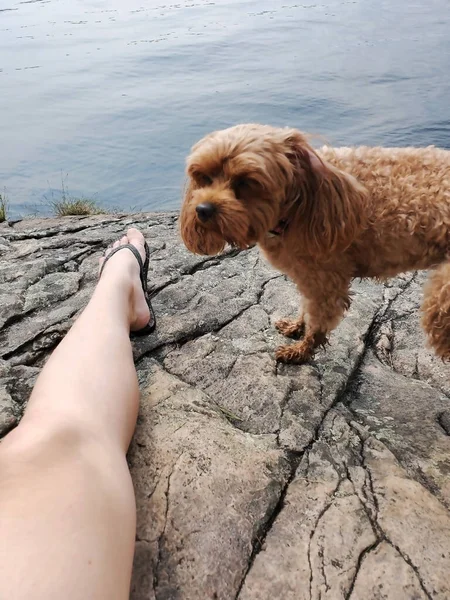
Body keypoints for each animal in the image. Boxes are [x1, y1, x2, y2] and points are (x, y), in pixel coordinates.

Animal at [179, 124, 450, 364]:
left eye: (245, 181)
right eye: (204, 177)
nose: (203, 209)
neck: (300, 203)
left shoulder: (326, 281)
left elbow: (318, 320)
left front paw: (301, 351)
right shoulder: (307, 275)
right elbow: (306, 306)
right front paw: (297, 326)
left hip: (441, 298)